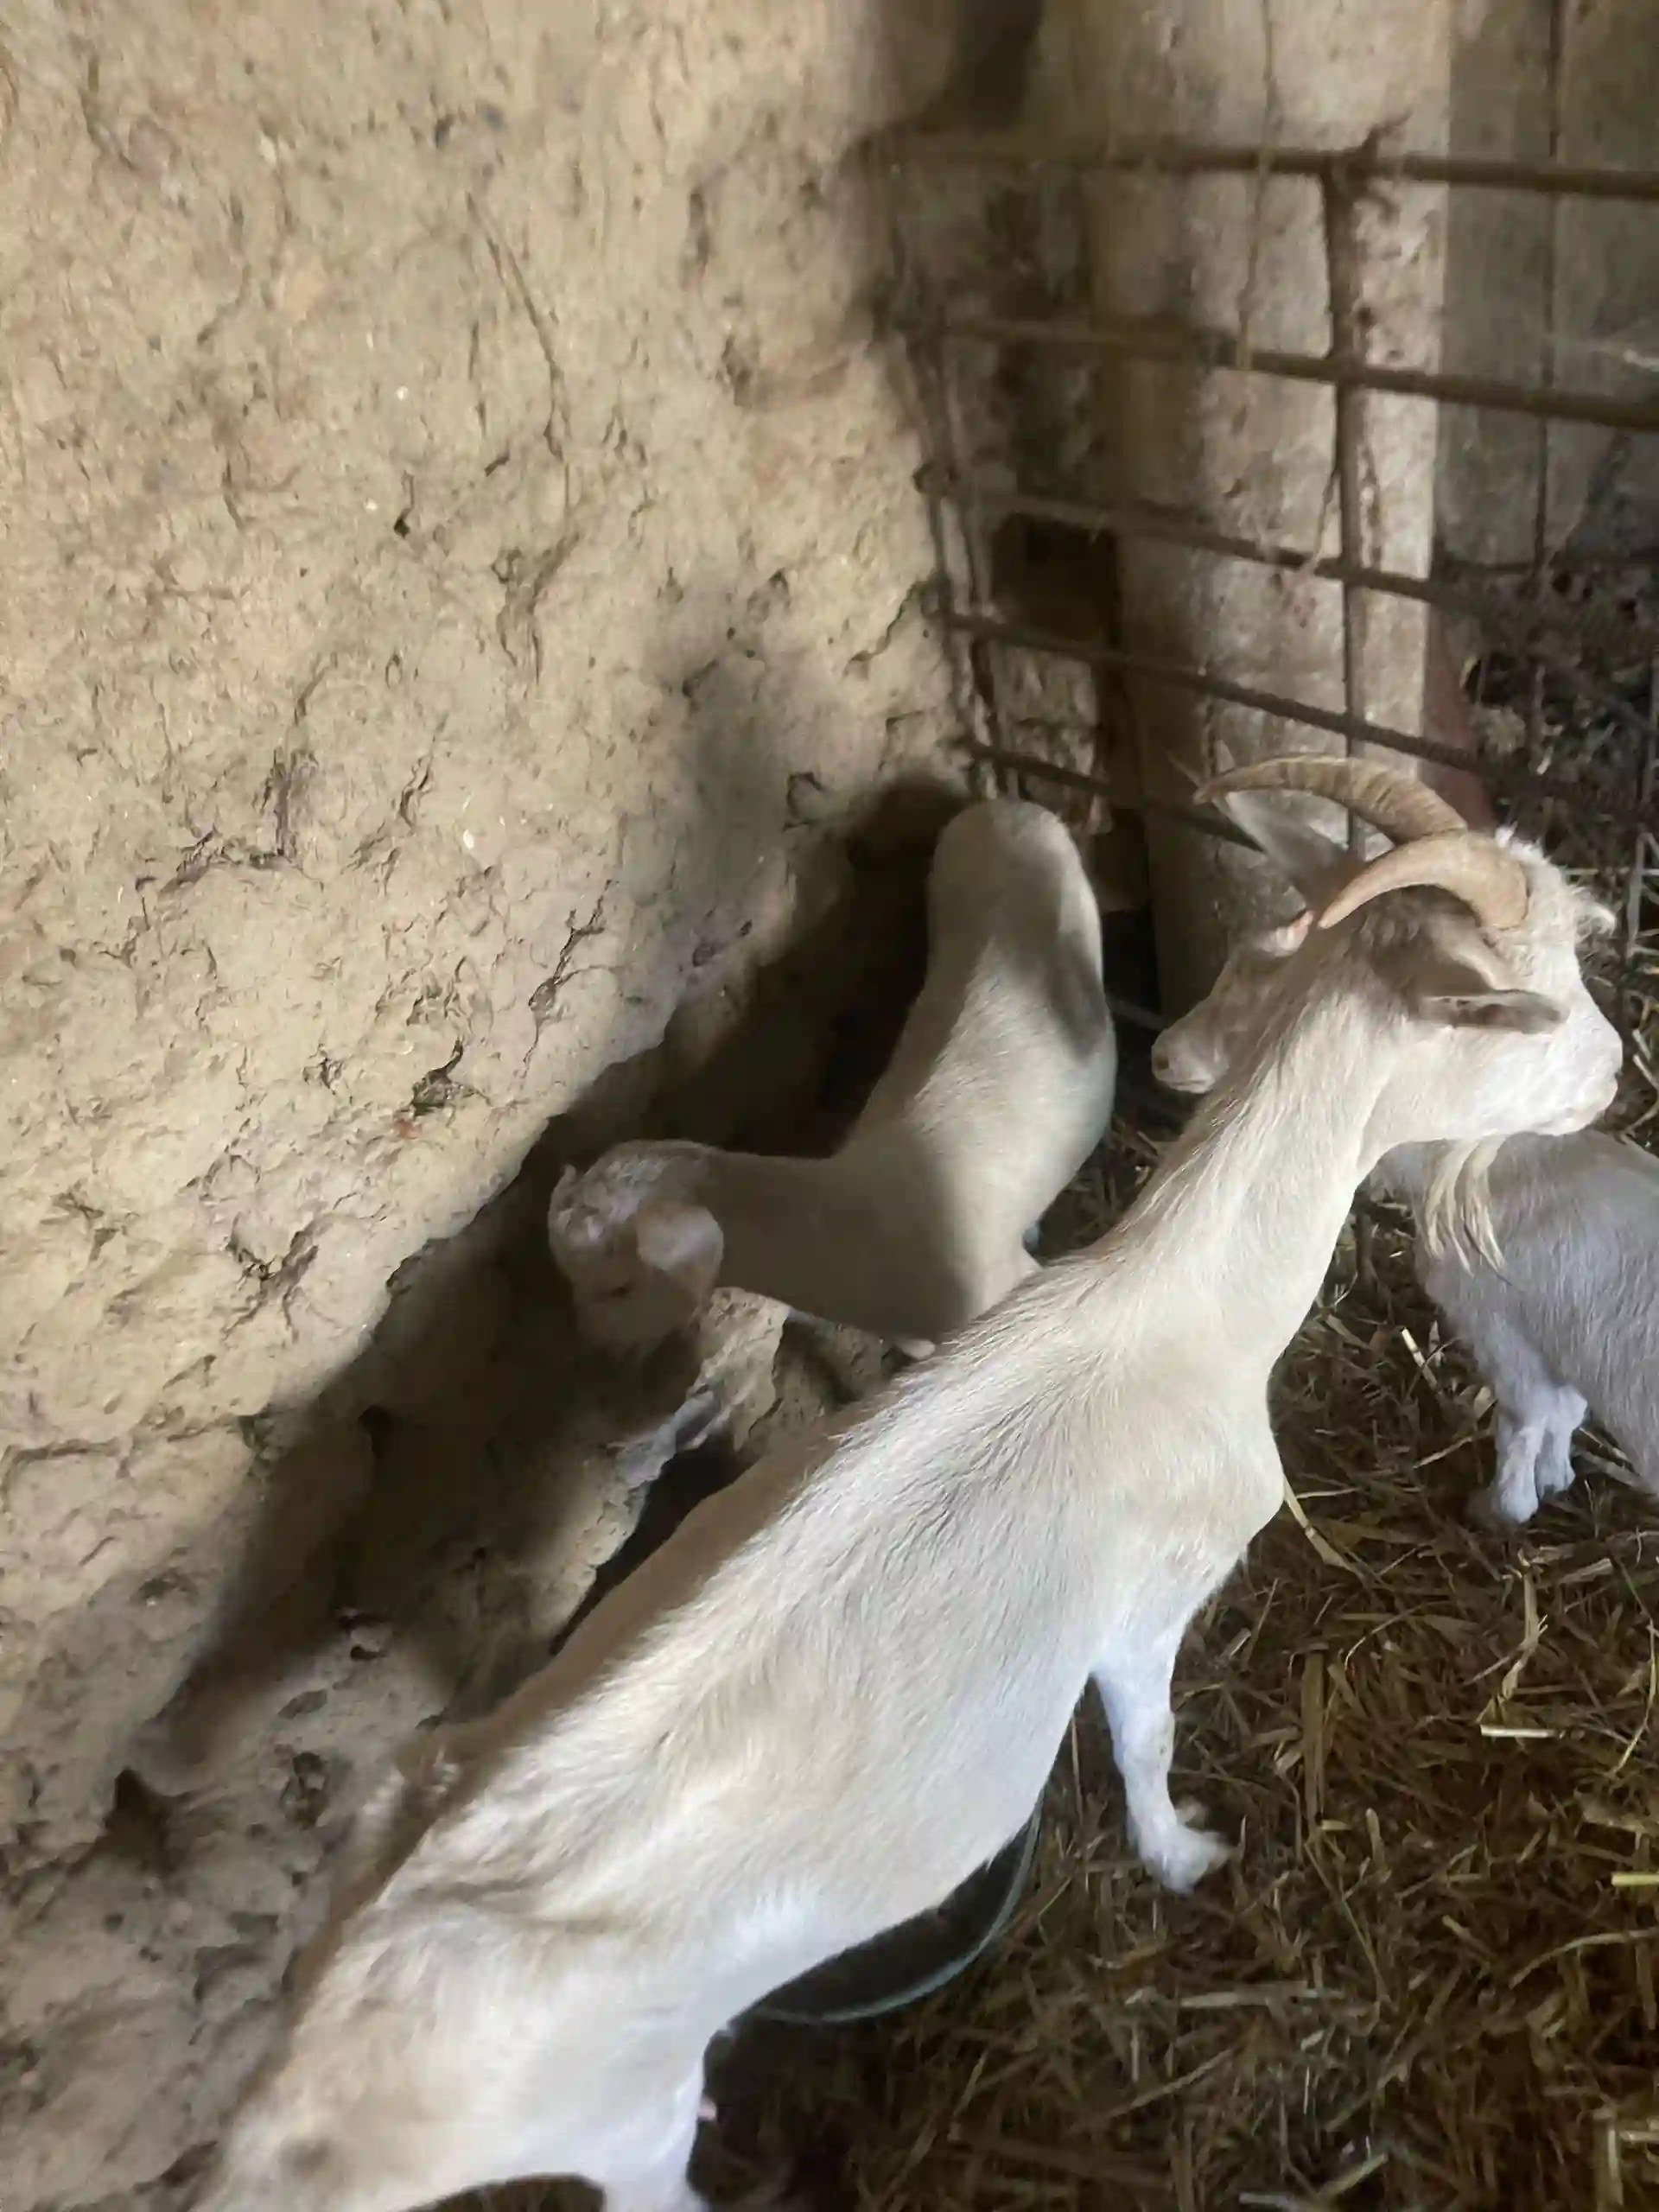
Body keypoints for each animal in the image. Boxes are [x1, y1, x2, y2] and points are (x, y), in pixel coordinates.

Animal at [1150, 764, 1647, 1527]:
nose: (1162, 1055)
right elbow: (1562, 1416)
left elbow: (1524, 1420)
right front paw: (1554, 1482)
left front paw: (1499, 1511)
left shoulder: (1504, 1330)